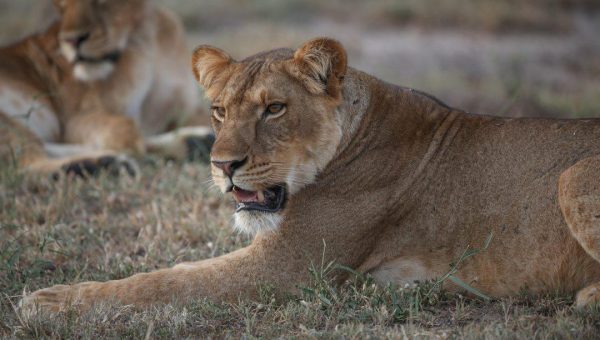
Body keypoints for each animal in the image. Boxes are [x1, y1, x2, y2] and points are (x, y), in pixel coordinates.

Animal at [18, 37, 600, 314]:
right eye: (218, 112)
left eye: (274, 109)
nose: (222, 166)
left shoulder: (289, 269)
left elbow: (166, 281)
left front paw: (48, 303)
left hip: (570, 177)